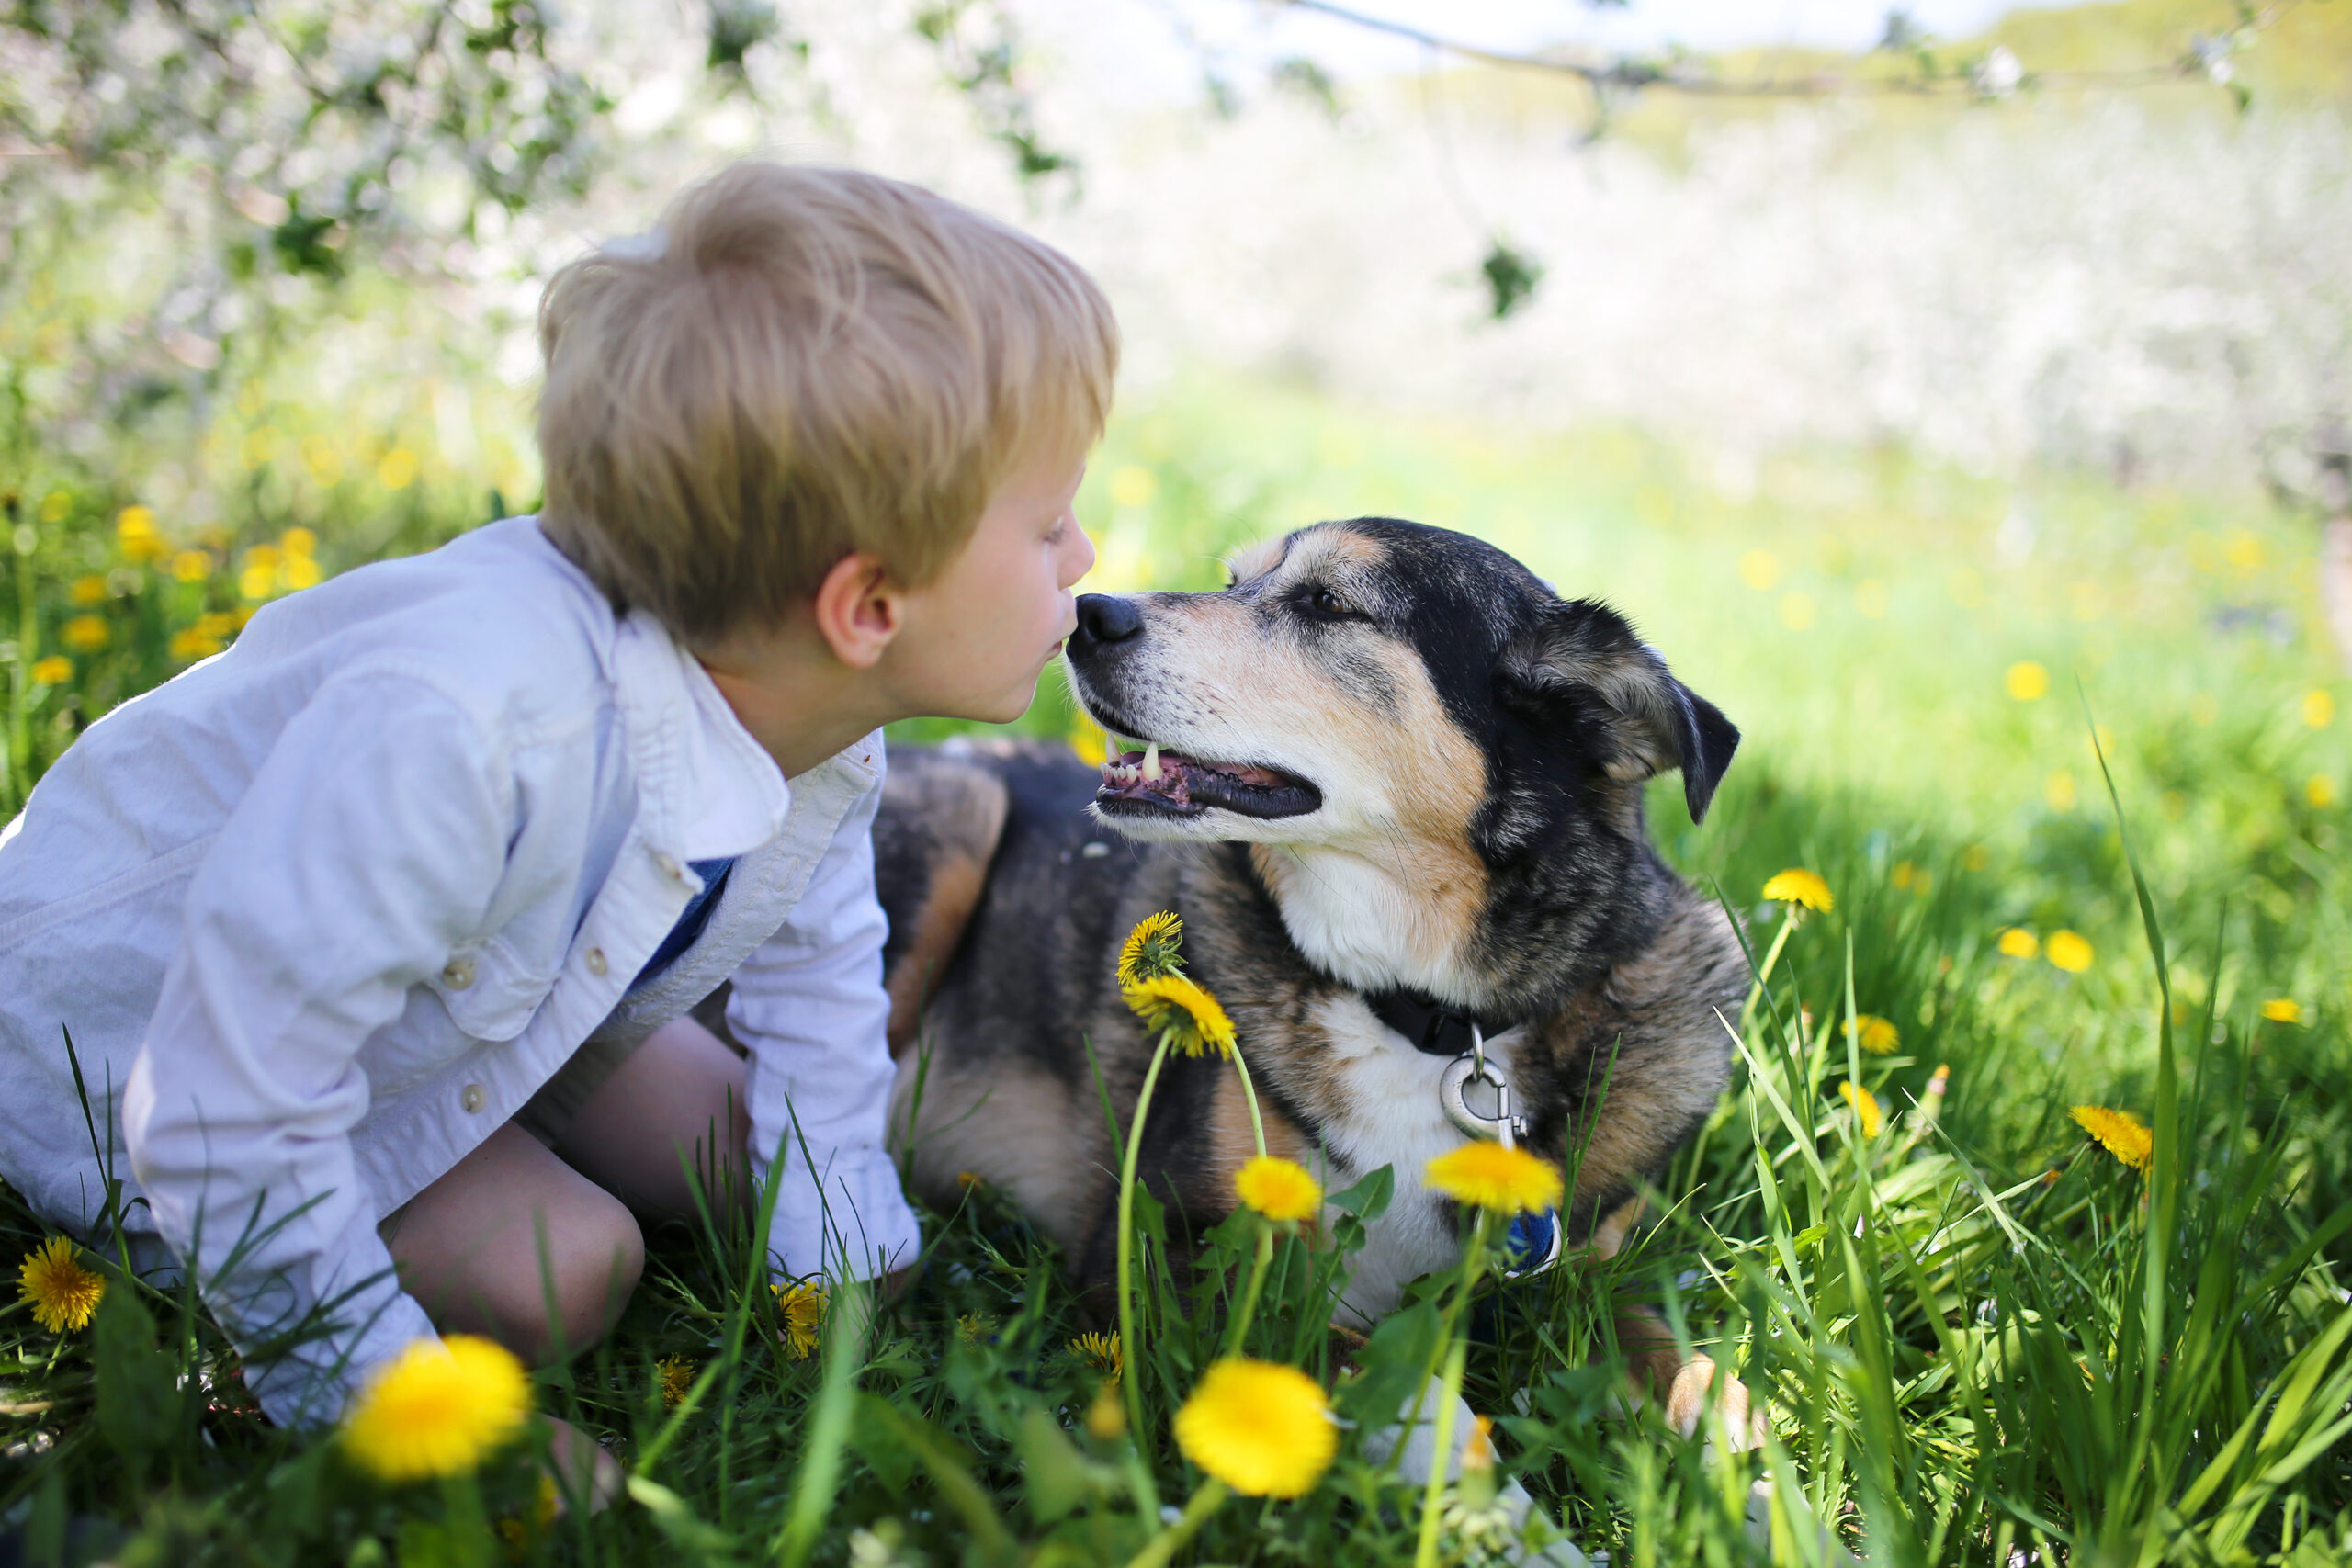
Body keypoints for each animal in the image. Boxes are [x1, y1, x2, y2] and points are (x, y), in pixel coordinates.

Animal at [875, 522, 1758, 1457]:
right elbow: (1385, 1384)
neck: (1431, 1024)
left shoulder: (1583, 1272)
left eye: (1327, 602)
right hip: (958, 820)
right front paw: (1482, 1485)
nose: (1084, 614)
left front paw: (1743, 1450)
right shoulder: (1170, 1253)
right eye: (1235, 580)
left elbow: (1676, 1354)